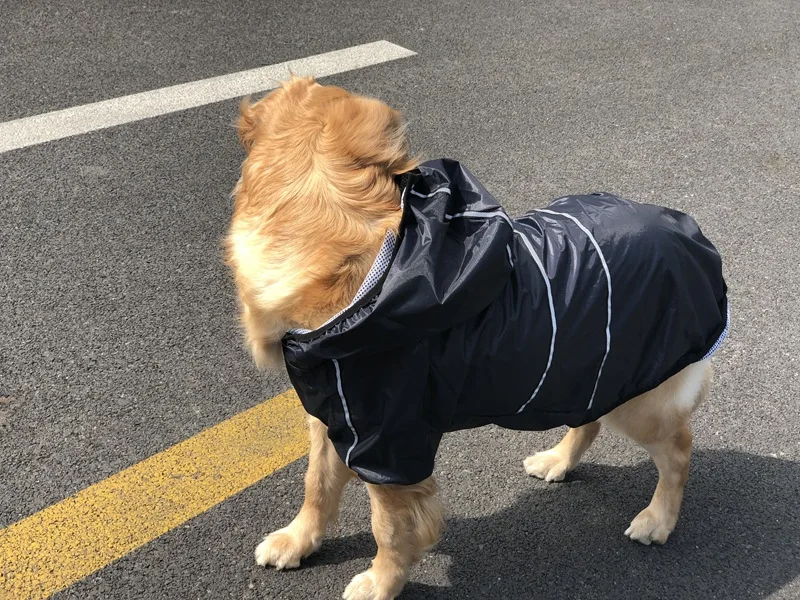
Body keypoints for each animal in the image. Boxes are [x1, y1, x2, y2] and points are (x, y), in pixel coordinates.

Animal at [223, 77, 724, 596]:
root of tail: (693, 236)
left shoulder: (389, 442)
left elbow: (389, 525)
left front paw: (383, 580)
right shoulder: (334, 415)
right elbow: (316, 485)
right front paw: (298, 540)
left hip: (640, 397)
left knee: (679, 450)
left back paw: (658, 519)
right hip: (586, 371)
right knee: (589, 421)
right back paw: (558, 460)